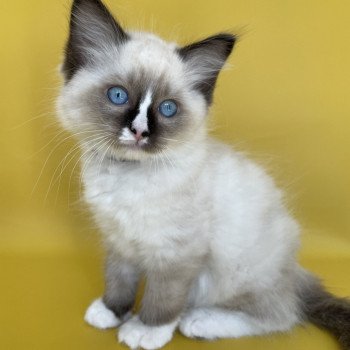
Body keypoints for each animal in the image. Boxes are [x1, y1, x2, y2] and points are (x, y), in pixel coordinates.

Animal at [56, 0, 350, 350]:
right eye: (118, 96)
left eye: (167, 109)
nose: (140, 132)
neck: (127, 173)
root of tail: (293, 269)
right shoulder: (118, 240)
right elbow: (119, 280)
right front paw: (111, 312)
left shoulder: (177, 251)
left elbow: (163, 299)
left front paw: (146, 331)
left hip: (236, 271)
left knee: (280, 314)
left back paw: (201, 321)